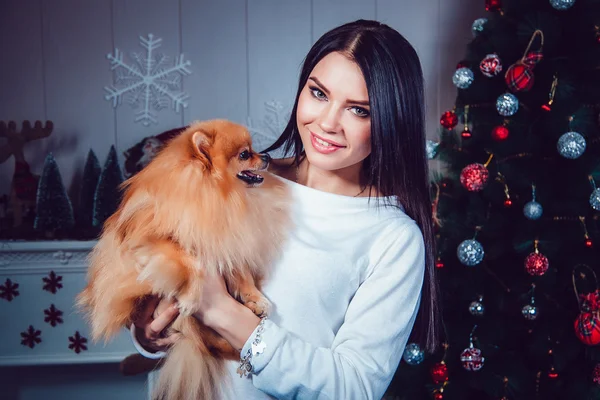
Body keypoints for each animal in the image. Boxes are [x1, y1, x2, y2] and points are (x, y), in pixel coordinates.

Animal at [76, 119, 292, 400]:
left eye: (254, 149)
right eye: (245, 154)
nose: (266, 157)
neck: (219, 194)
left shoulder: (227, 239)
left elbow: (241, 273)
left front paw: (255, 299)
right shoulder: (152, 240)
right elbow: (189, 262)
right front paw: (191, 296)